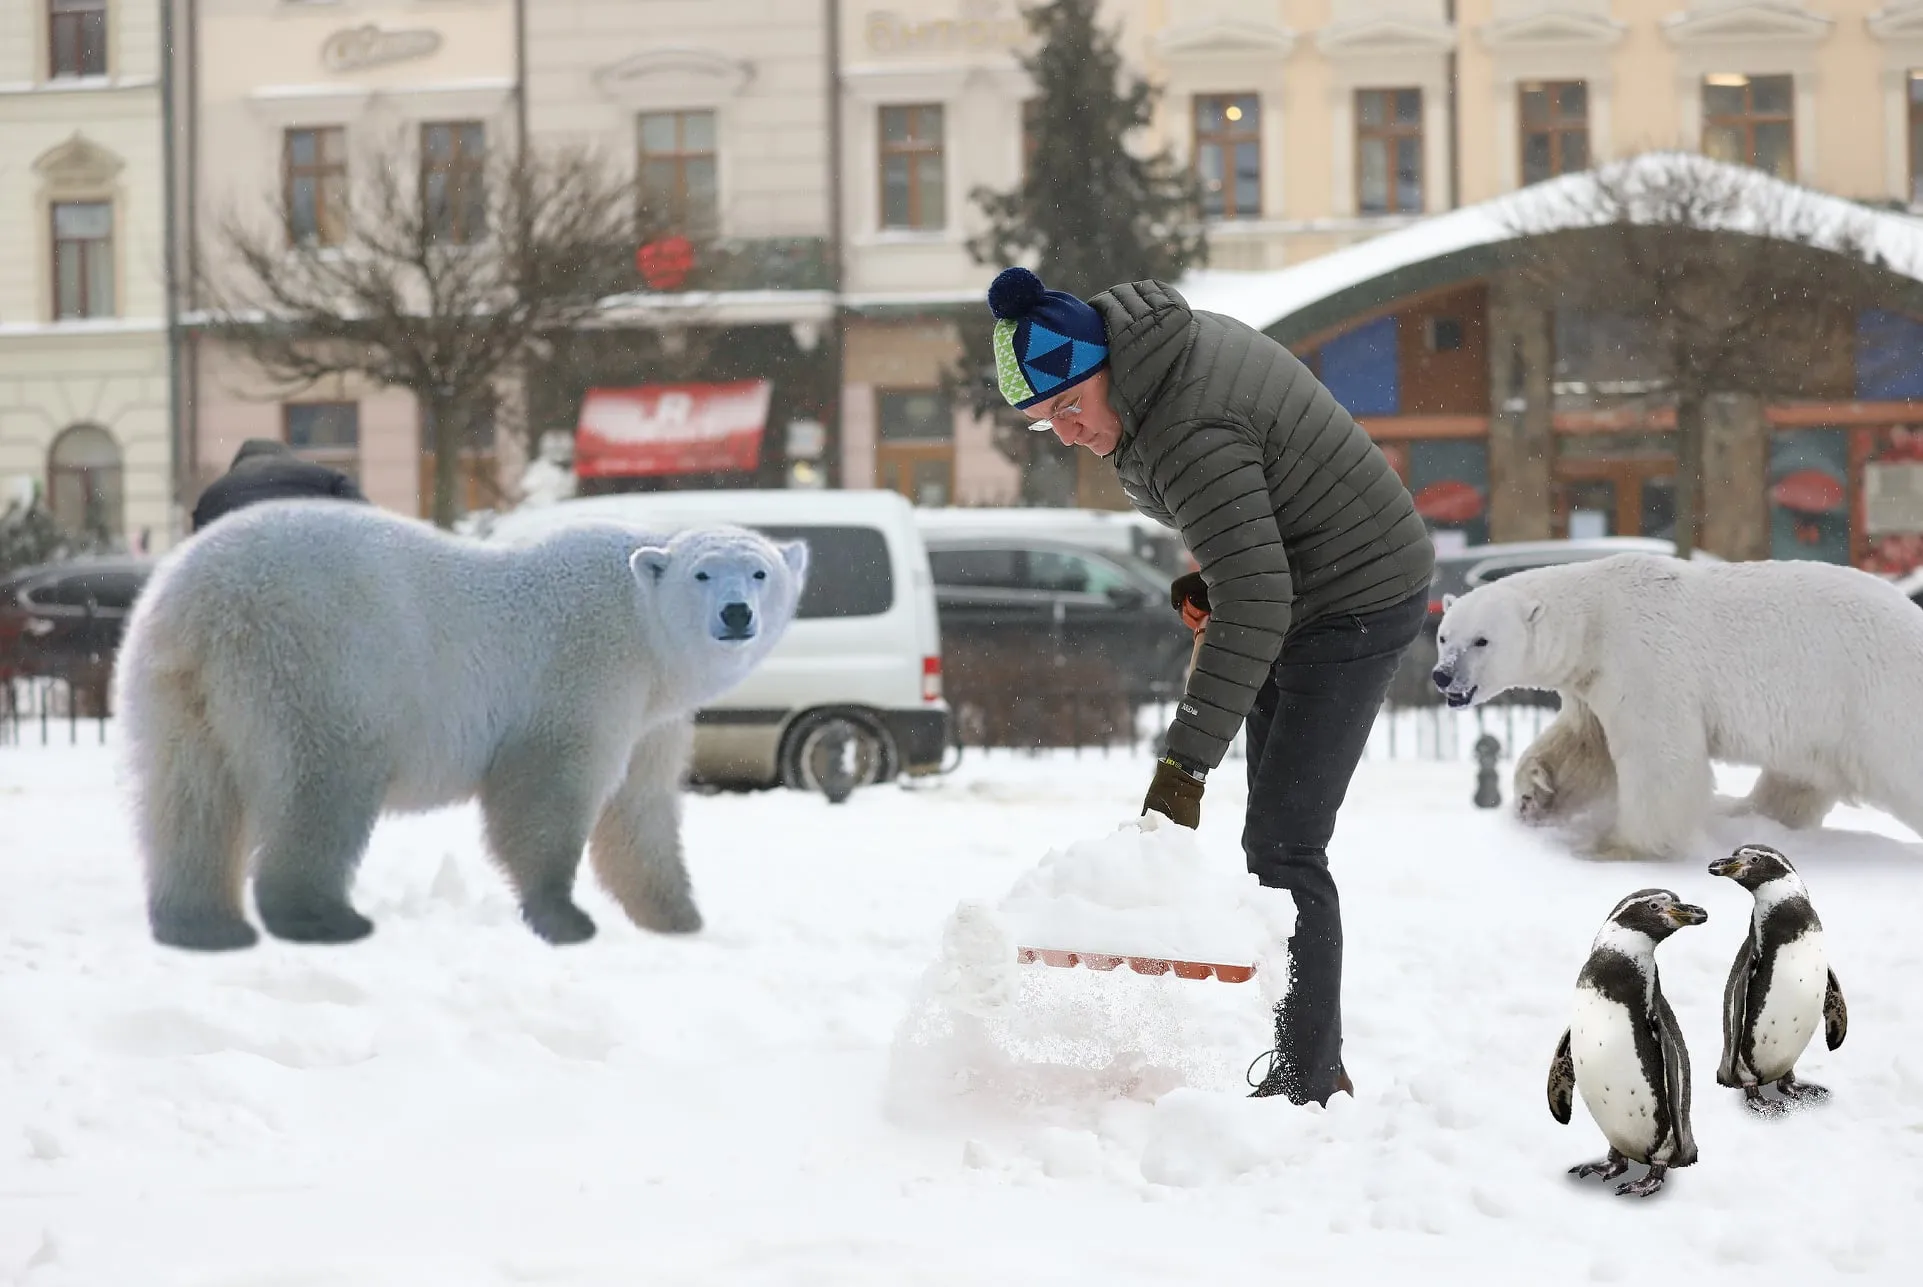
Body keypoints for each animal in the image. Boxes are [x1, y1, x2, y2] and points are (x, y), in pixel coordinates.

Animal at [114, 496, 803, 950]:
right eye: (703, 573)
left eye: (761, 571)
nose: (737, 613)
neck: (641, 623)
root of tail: (202, 601)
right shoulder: (585, 671)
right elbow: (546, 791)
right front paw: (566, 919)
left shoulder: (652, 718)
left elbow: (642, 809)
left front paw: (680, 916)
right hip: (316, 664)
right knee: (321, 785)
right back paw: (324, 918)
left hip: (170, 685)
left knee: (188, 796)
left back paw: (203, 925)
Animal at [1438, 557, 1923, 858]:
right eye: (1445, 636)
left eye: (1482, 640)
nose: (1443, 675)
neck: (1594, 618)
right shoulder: (1592, 681)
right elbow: (1585, 746)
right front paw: (1533, 794)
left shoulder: (1643, 660)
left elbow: (1658, 758)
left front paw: (1616, 847)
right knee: (1798, 779)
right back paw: (1741, 814)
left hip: (1878, 703)